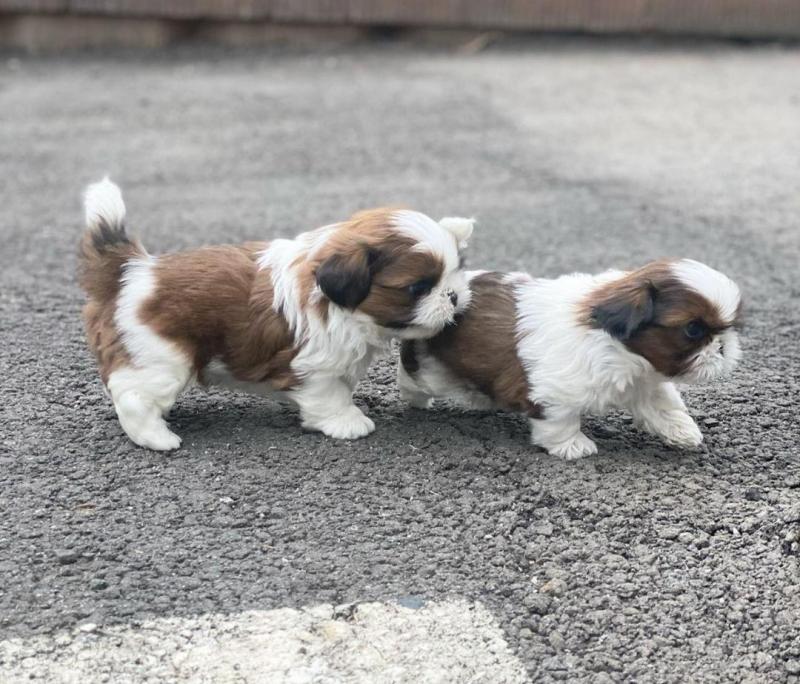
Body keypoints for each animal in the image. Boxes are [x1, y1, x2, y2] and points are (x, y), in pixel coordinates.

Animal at [78, 179, 472, 452]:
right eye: (418, 287)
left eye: (456, 271)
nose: (453, 296)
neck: (343, 308)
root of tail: (132, 270)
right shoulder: (312, 366)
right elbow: (329, 394)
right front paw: (346, 420)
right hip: (160, 358)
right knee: (132, 395)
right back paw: (156, 436)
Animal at [400, 260, 744, 462]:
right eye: (693, 329)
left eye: (729, 327)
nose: (723, 347)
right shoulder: (554, 390)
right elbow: (560, 419)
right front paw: (572, 445)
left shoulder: (643, 380)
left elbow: (661, 405)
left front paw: (681, 430)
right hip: (432, 369)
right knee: (414, 376)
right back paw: (416, 398)